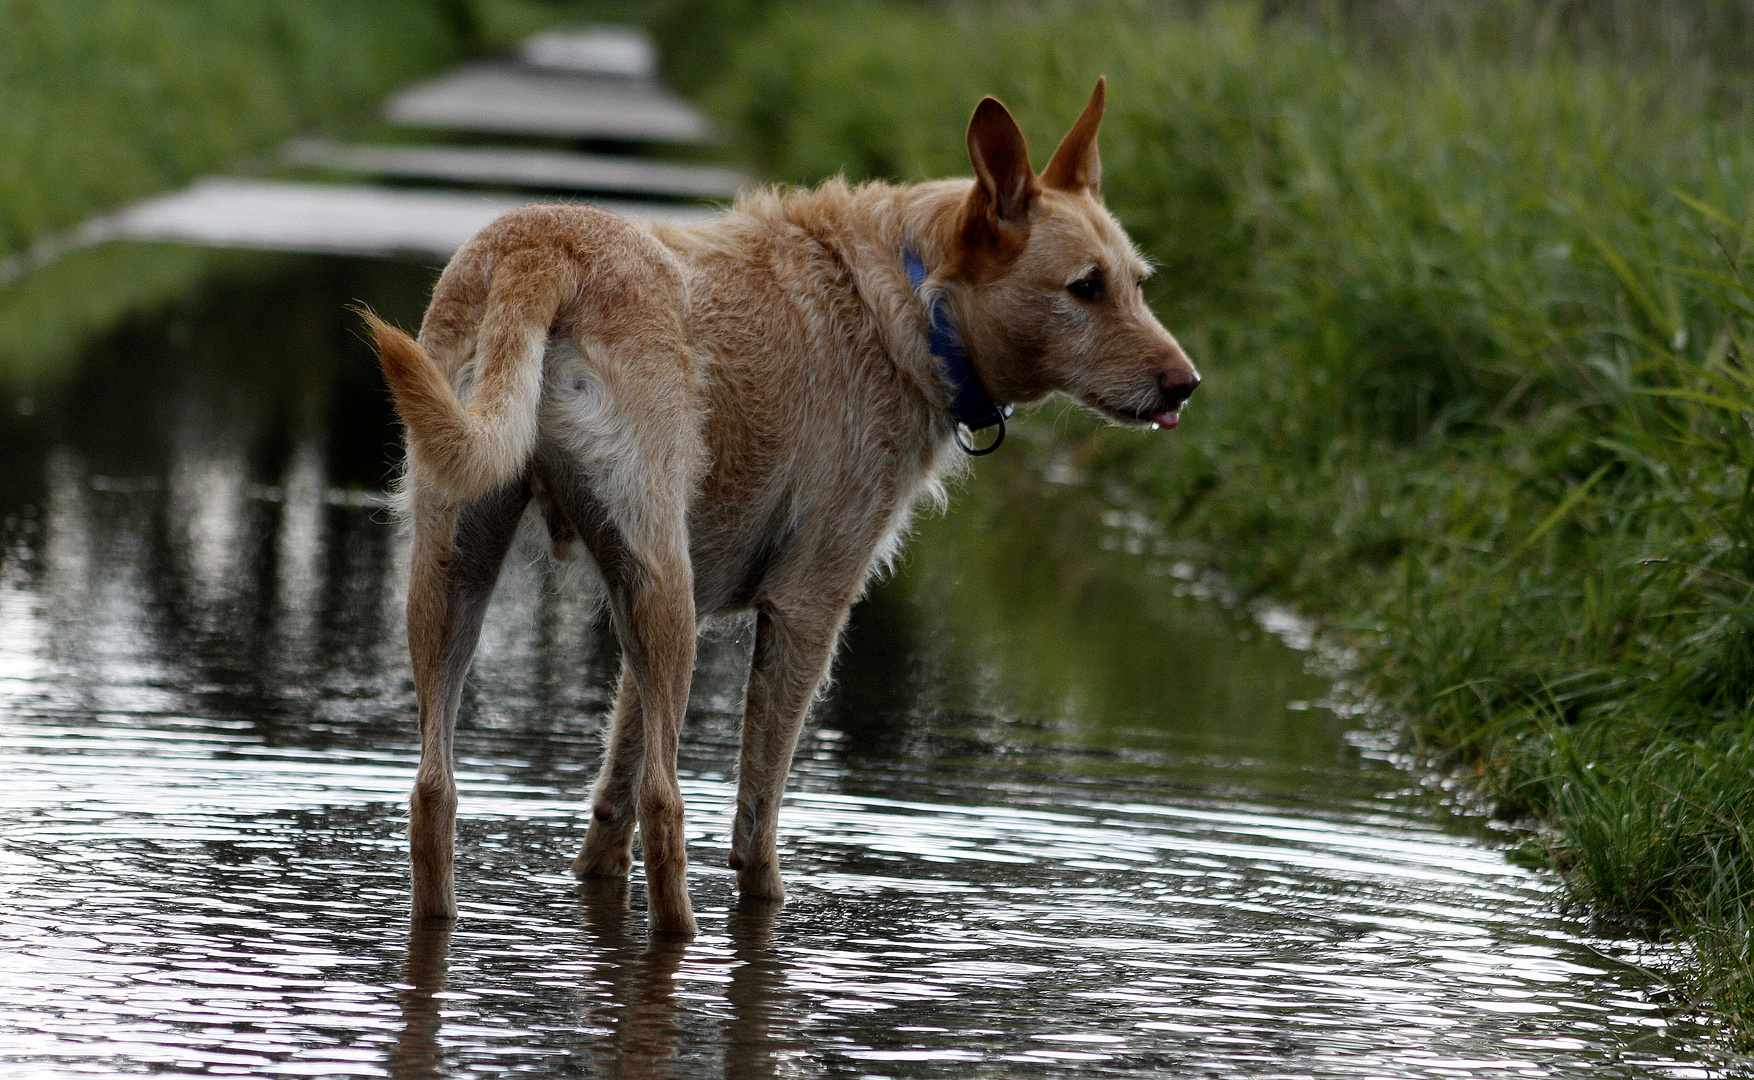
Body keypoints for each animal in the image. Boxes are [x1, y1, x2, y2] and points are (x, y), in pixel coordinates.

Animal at [363, 80, 1199, 932]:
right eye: (1085, 287)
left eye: (1138, 282)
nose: (1186, 384)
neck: (915, 298)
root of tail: (542, 249)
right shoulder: (807, 606)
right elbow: (755, 817)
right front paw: (767, 905)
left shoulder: (667, 623)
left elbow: (611, 803)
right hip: (659, 590)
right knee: (666, 805)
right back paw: (685, 933)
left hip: (468, 575)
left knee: (436, 792)